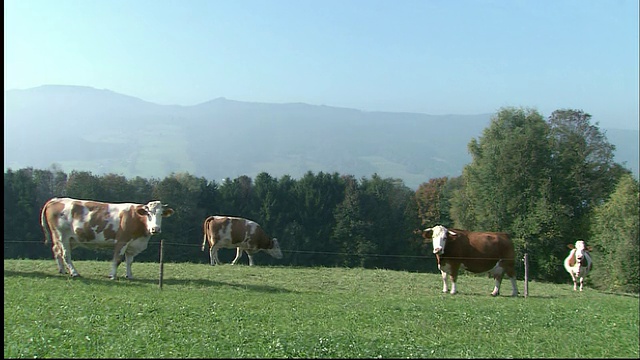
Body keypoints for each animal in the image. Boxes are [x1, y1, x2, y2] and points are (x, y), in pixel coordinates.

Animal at [41, 197, 174, 278]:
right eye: (148, 214)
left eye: (161, 214)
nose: (155, 229)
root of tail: (56, 199)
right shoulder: (122, 241)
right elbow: (117, 260)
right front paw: (112, 276)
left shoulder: (132, 244)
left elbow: (129, 261)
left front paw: (129, 275)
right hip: (62, 235)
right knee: (65, 254)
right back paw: (74, 273)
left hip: (70, 239)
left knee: (56, 250)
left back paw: (62, 270)